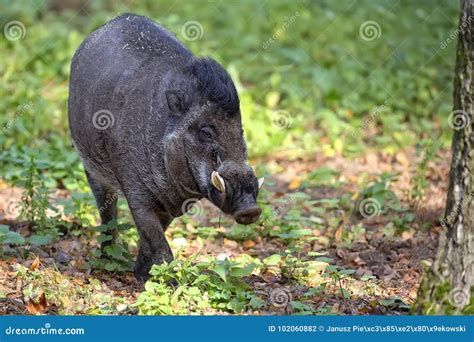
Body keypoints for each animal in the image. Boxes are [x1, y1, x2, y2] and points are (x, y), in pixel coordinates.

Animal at [67, 13, 262, 280]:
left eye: (241, 131)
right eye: (205, 132)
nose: (250, 209)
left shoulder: (173, 204)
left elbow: (154, 236)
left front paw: (142, 274)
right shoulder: (135, 191)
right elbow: (158, 243)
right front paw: (160, 281)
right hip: (91, 169)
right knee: (106, 211)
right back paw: (106, 257)